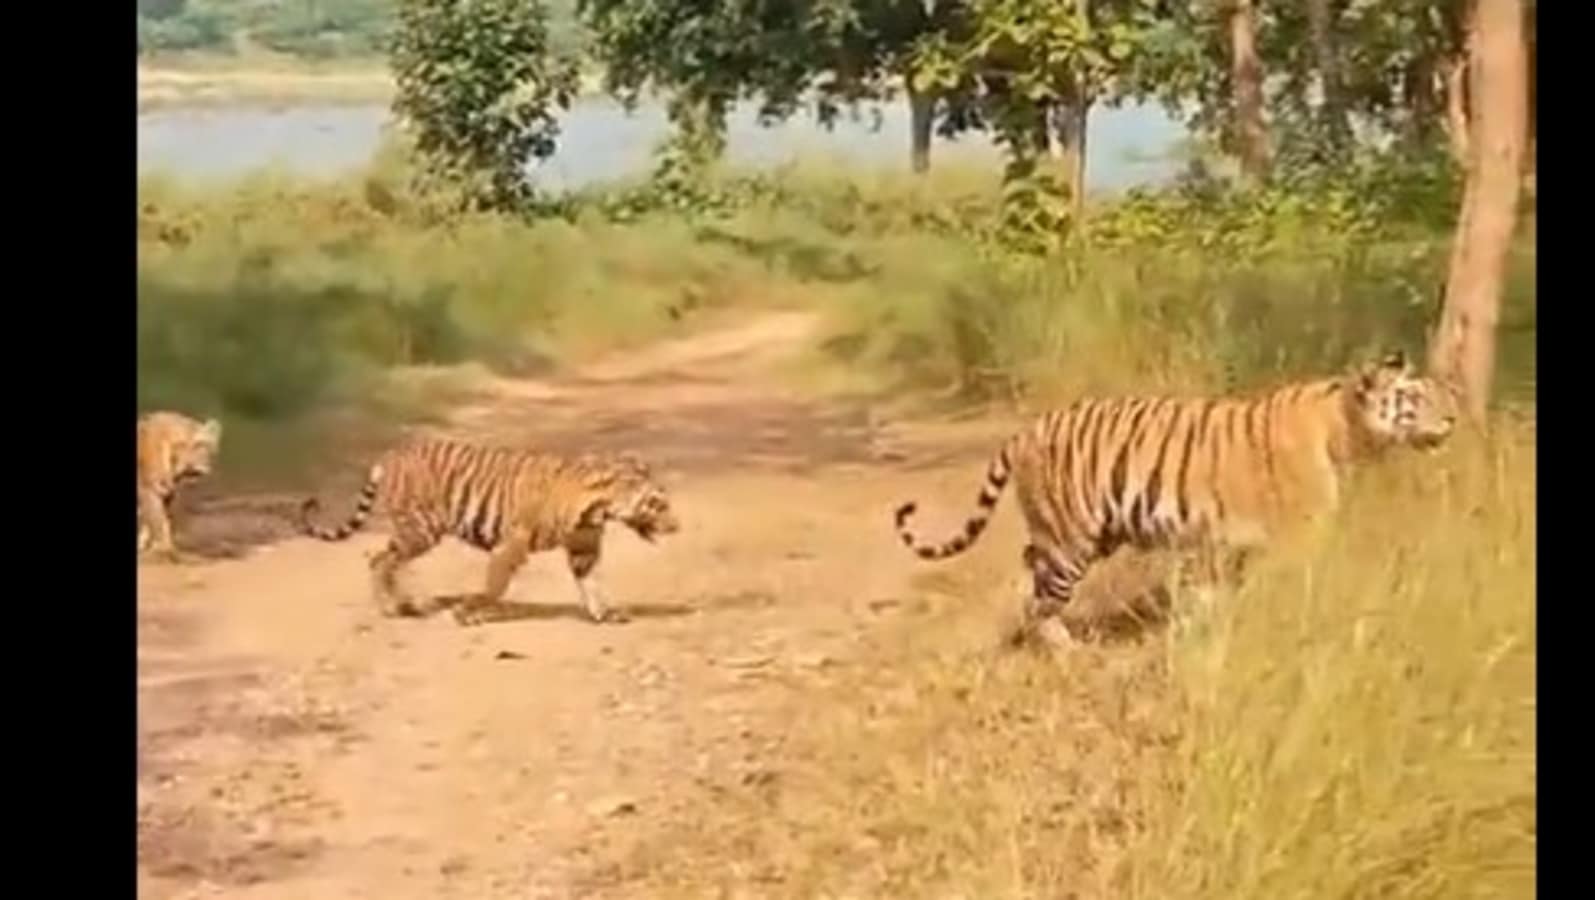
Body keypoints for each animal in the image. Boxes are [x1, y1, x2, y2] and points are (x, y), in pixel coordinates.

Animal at [137, 411, 223, 558]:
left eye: (200, 444)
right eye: (180, 445)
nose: (190, 466)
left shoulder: (171, 495)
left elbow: (167, 521)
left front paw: (167, 548)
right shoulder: (148, 489)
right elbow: (158, 521)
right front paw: (162, 550)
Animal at [299, 437, 679, 625]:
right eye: (658, 504)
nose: (678, 526)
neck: (599, 509)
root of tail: (390, 455)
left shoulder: (583, 549)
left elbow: (593, 584)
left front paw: (604, 614)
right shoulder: (511, 544)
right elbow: (495, 586)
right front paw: (471, 611)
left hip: (415, 531)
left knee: (383, 558)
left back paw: (404, 605)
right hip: (421, 529)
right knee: (382, 560)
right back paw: (396, 608)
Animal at [899, 347, 1461, 644]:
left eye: (1442, 393)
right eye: (1416, 396)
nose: (1455, 417)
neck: (1346, 429)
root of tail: (1024, 432)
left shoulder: (1227, 547)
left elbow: (1218, 594)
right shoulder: (1300, 537)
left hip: (1091, 532)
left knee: (1028, 565)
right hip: (1071, 540)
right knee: (1044, 594)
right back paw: (1062, 648)